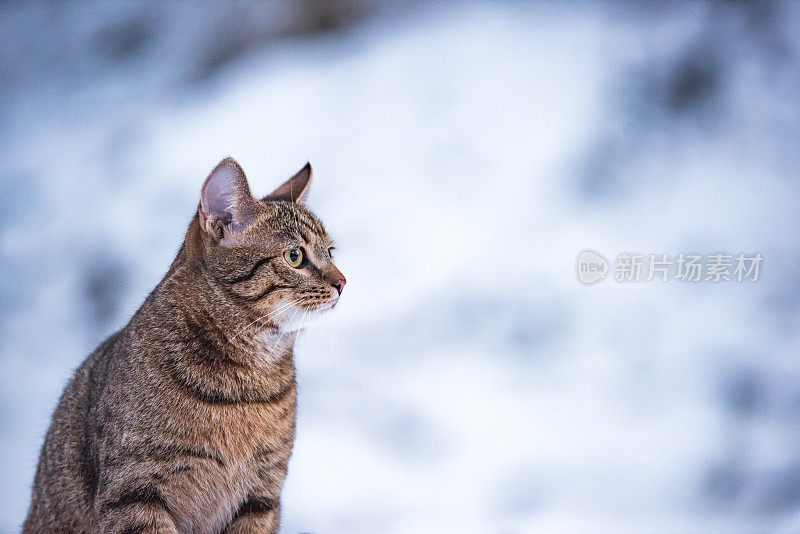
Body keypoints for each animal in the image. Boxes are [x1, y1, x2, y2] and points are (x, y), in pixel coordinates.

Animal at [24, 159, 344, 534]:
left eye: (331, 253)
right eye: (295, 256)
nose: (342, 282)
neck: (248, 380)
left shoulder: (263, 493)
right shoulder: (134, 491)